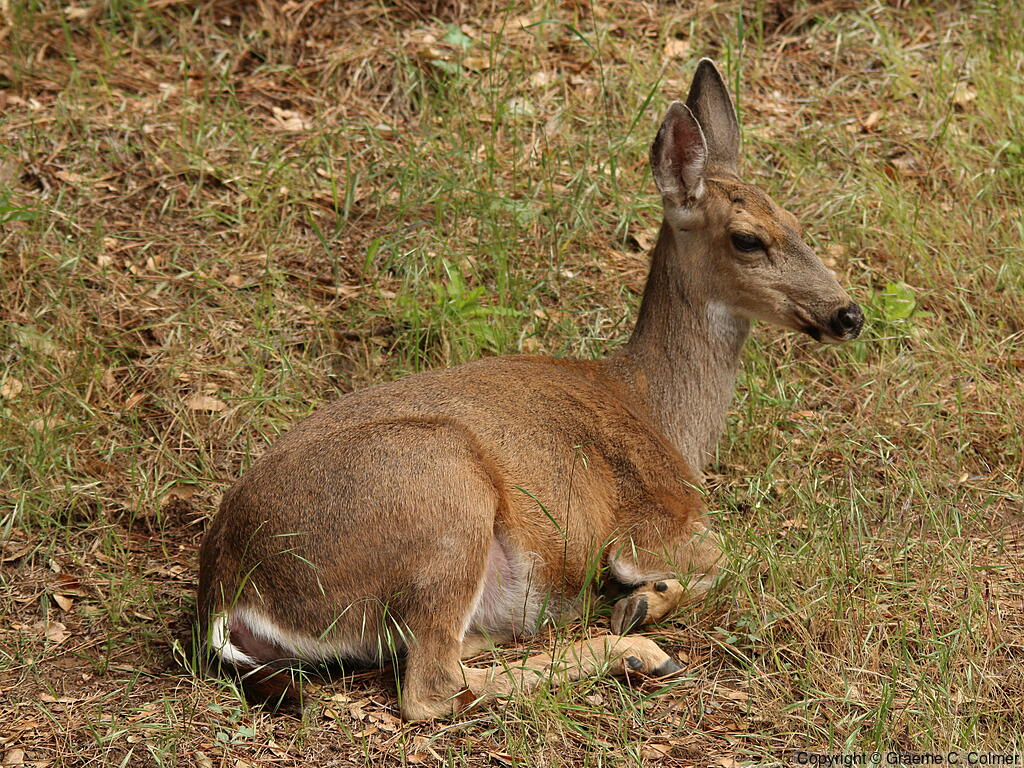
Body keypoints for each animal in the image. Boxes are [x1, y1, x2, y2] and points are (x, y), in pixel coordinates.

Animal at [195, 59, 864, 721]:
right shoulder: (649, 520)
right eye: (748, 238)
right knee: (433, 687)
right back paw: (634, 649)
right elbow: (730, 558)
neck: (662, 413)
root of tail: (229, 592)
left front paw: (640, 599)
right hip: (444, 493)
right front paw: (643, 598)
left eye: (798, 223)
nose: (848, 314)